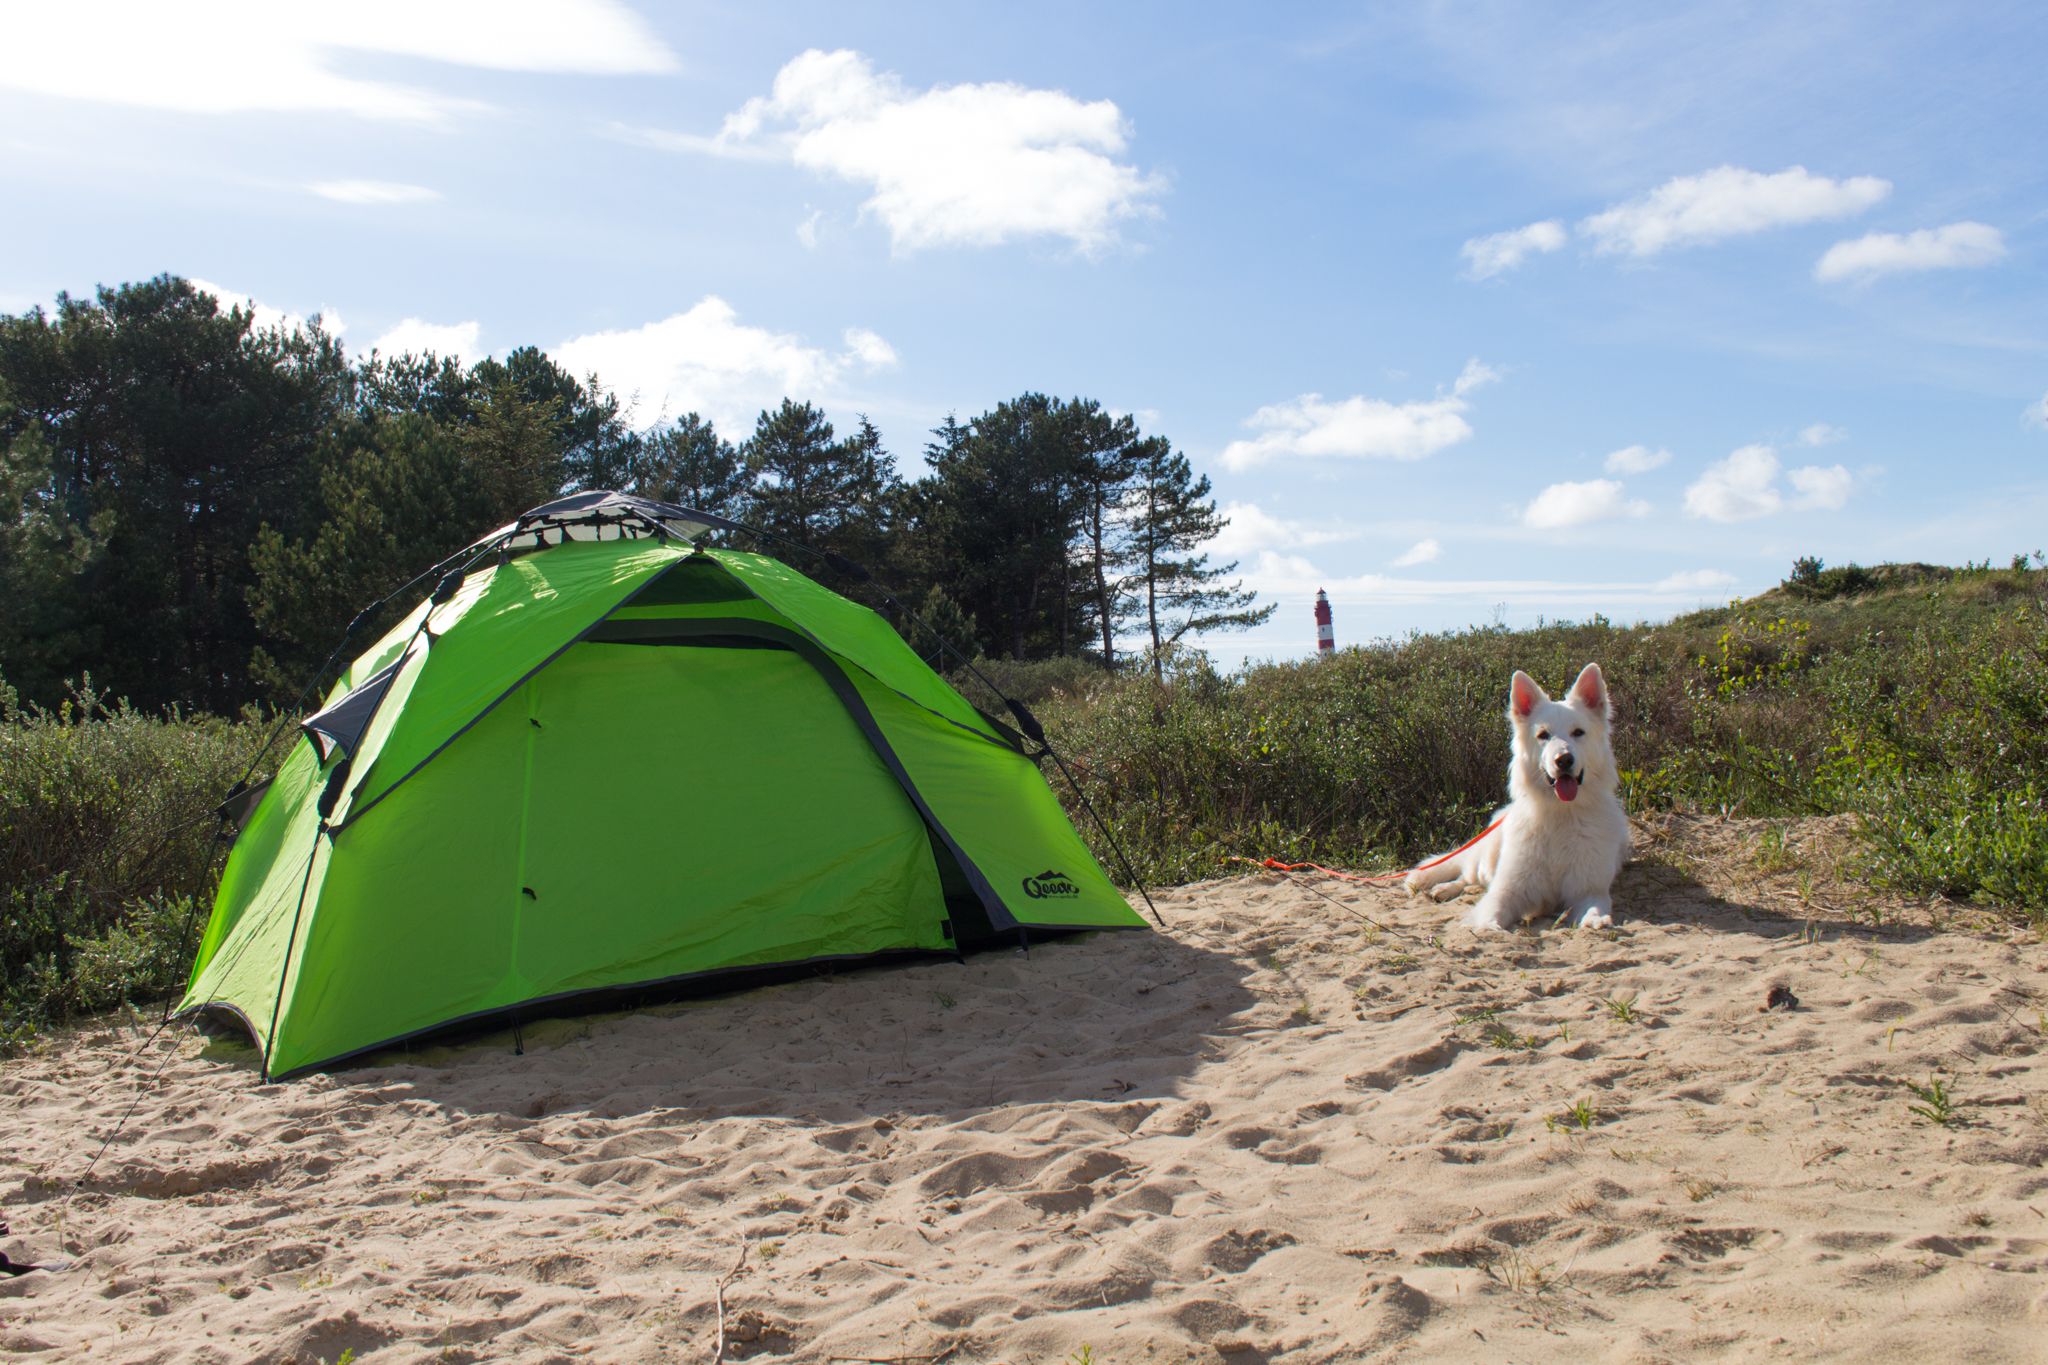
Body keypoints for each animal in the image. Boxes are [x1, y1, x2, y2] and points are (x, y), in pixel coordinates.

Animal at [1400, 663, 1622, 933]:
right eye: (1543, 735)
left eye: (1578, 732)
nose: (1564, 760)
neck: (1560, 813)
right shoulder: (1508, 889)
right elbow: (1491, 912)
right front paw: (1487, 927)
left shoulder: (1589, 889)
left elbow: (1594, 908)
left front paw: (1595, 921)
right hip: (1487, 860)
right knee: (1468, 874)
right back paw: (1444, 888)